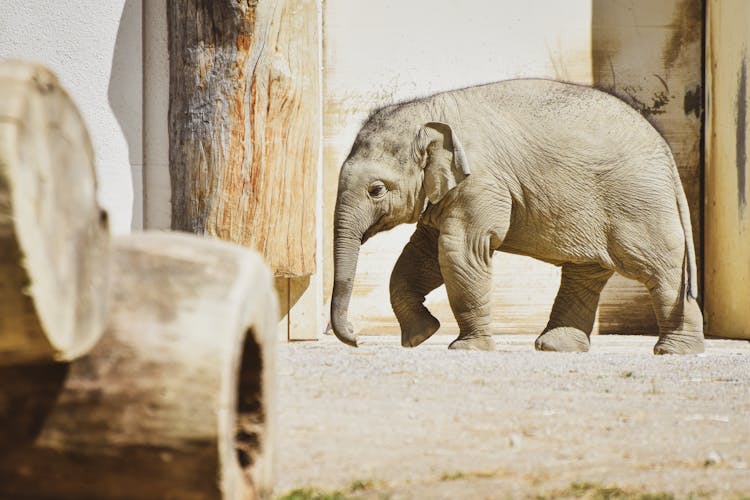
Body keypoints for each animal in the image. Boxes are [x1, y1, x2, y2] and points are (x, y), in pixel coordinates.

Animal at [330, 79, 704, 356]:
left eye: (376, 190)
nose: (355, 338)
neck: (429, 112)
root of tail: (667, 154)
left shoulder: (481, 182)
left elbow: (460, 251)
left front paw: (466, 348)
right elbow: (421, 254)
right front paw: (420, 336)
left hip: (639, 203)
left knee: (659, 269)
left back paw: (674, 351)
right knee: (585, 272)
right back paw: (556, 347)